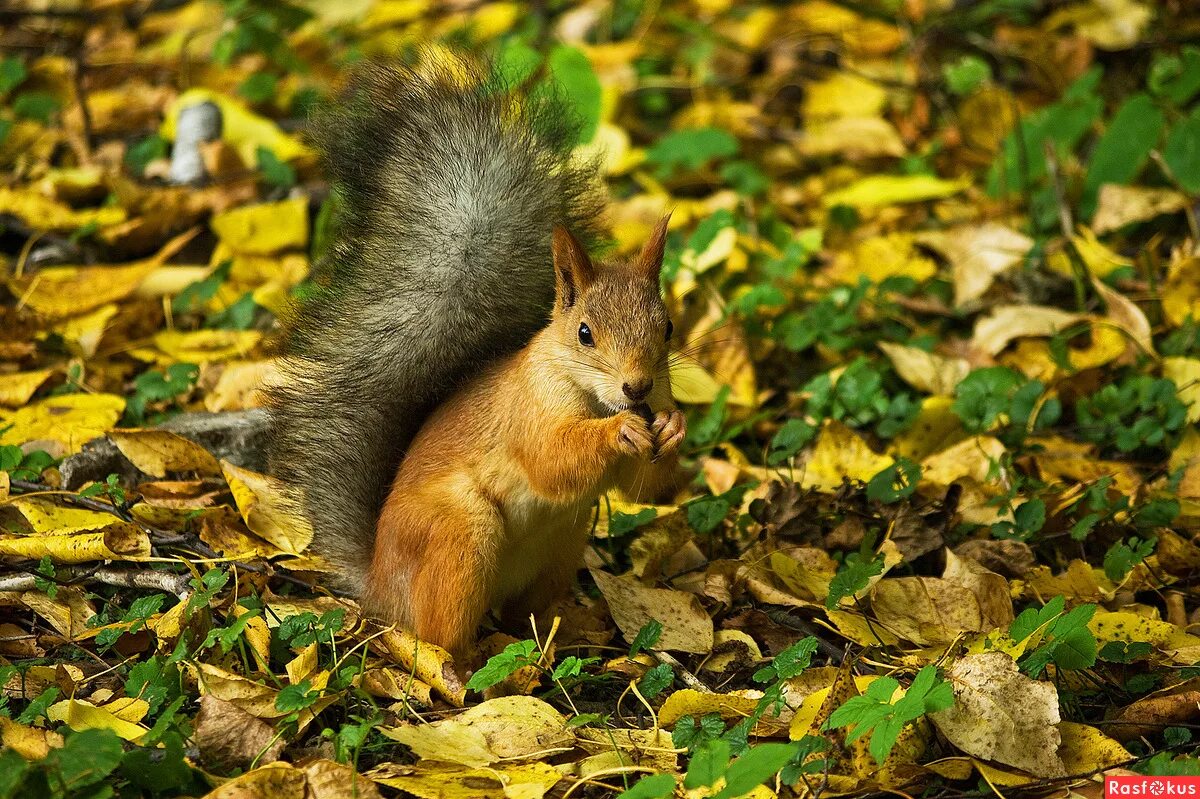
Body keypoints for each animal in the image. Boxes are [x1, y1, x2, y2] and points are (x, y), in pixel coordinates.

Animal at [268, 54, 691, 652]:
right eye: (584, 333)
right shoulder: (526, 410)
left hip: (563, 543)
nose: (638, 387)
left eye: (668, 326)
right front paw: (618, 432)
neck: (587, 392)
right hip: (461, 534)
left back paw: (563, 629)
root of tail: (380, 586)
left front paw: (672, 427)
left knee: (525, 612)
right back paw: (470, 659)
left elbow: (644, 488)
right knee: (438, 635)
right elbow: (551, 458)